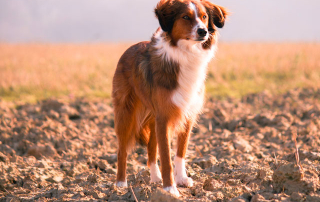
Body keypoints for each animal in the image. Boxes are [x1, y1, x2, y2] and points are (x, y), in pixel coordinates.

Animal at [112, 0, 228, 196]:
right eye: (185, 17)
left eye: (204, 17)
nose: (203, 31)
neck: (186, 53)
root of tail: (129, 49)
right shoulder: (164, 117)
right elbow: (166, 156)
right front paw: (169, 188)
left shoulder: (186, 114)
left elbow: (180, 153)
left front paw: (181, 180)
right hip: (126, 114)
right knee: (122, 150)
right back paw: (121, 184)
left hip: (153, 117)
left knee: (151, 148)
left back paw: (155, 178)